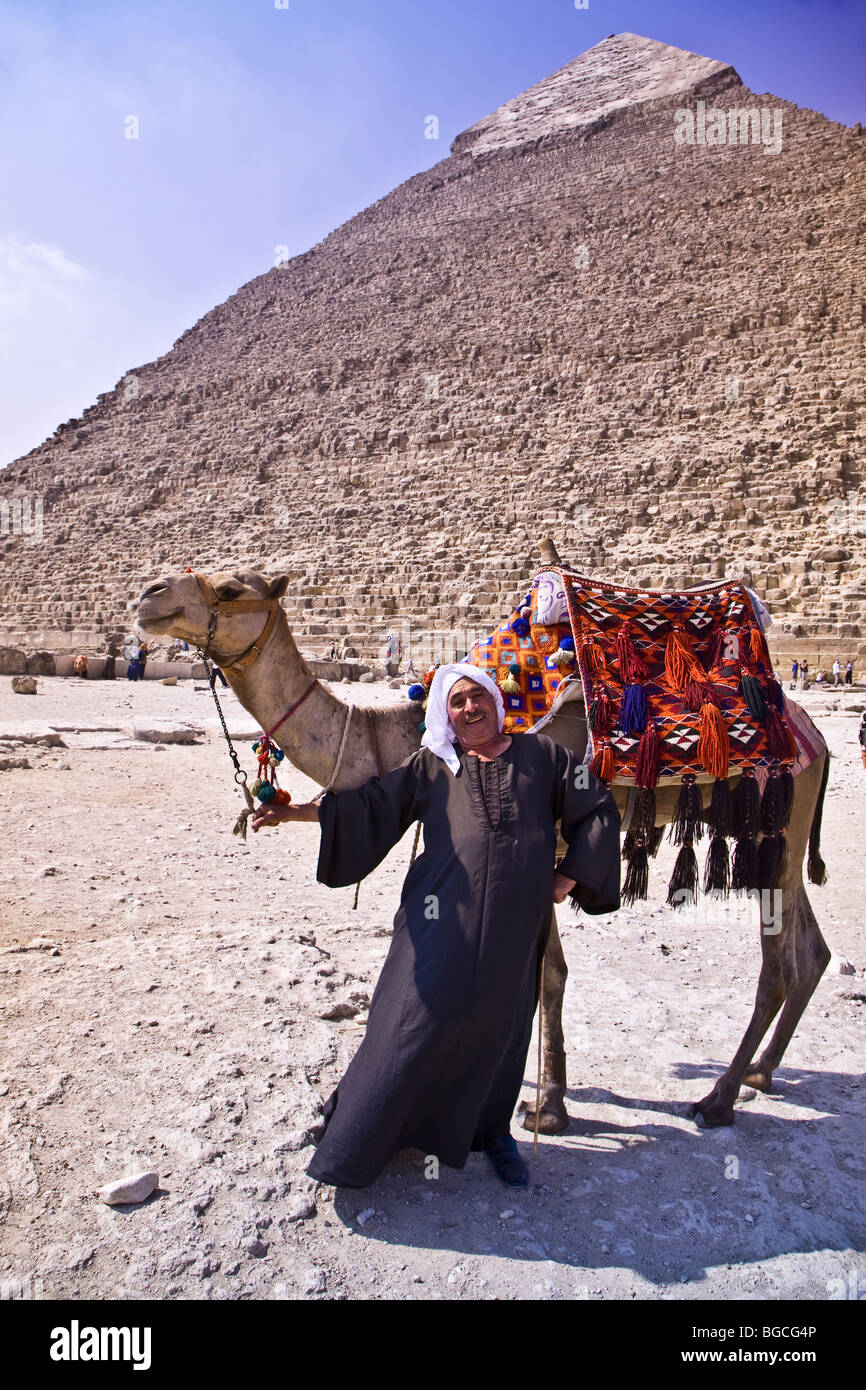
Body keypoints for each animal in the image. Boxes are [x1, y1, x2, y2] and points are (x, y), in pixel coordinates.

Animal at [136, 547, 834, 1134]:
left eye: (231, 588)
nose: (148, 595)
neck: (398, 733)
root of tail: (815, 735)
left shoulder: (553, 846)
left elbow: (550, 973)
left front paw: (548, 1106)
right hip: (772, 833)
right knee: (812, 950)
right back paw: (761, 1072)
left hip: (775, 820)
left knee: (778, 964)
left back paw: (718, 1098)